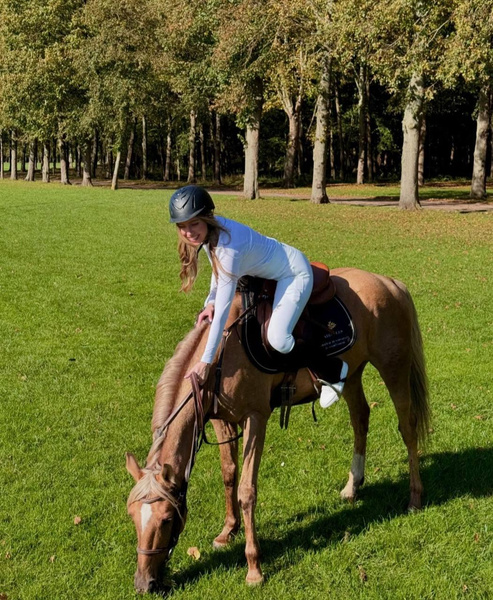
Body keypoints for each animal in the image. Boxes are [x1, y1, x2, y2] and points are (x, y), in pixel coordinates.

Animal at [125, 268, 428, 596]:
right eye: (132, 516)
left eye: (168, 519)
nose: (144, 583)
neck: (222, 355)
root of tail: (390, 283)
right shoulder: (219, 420)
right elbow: (229, 475)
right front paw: (227, 532)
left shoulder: (255, 418)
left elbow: (247, 491)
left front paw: (253, 567)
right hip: (353, 373)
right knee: (360, 417)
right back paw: (352, 486)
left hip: (394, 367)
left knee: (408, 428)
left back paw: (414, 497)